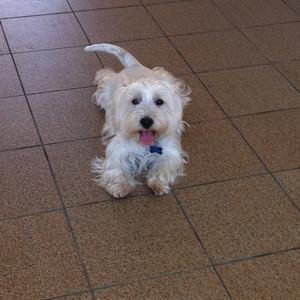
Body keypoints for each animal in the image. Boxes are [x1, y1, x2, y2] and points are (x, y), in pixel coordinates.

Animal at [85, 44, 191, 197]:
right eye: (135, 101)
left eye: (159, 101)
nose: (146, 121)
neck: (145, 144)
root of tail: (135, 65)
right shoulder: (118, 149)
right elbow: (116, 168)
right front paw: (120, 186)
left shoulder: (171, 152)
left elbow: (164, 166)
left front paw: (158, 184)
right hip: (106, 92)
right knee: (103, 75)